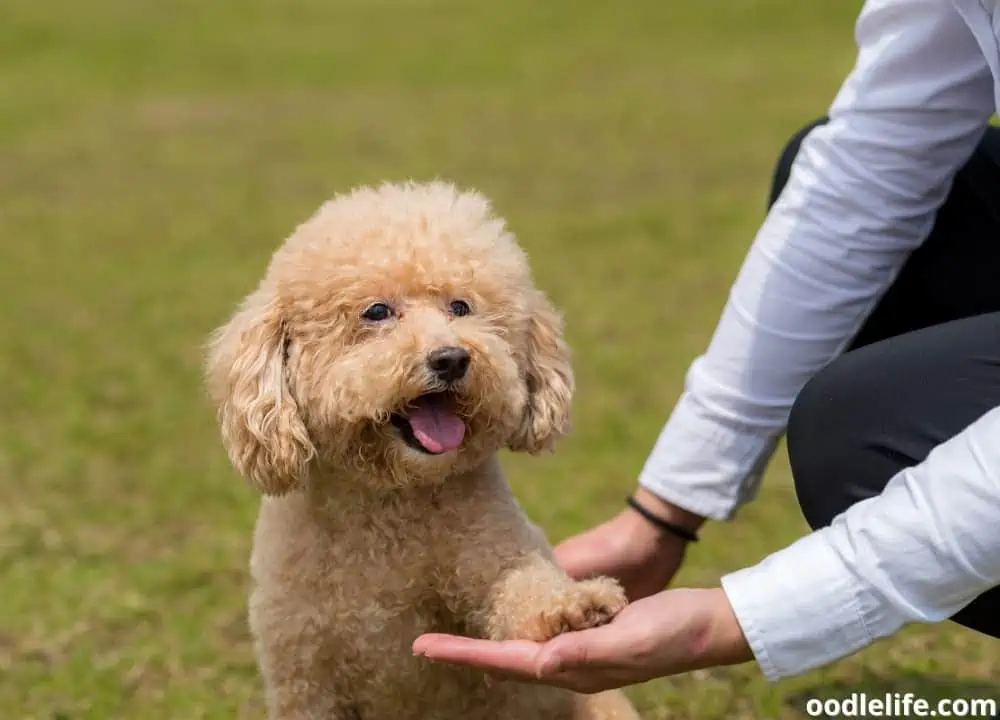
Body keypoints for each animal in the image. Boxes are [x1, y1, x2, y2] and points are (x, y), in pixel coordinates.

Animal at [204, 180, 640, 720]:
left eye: (461, 307)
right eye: (376, 312)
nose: (451, 358)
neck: (389, 502)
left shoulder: (492, 550)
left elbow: (521, 585)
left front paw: (574, 607)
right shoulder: (304, 679)